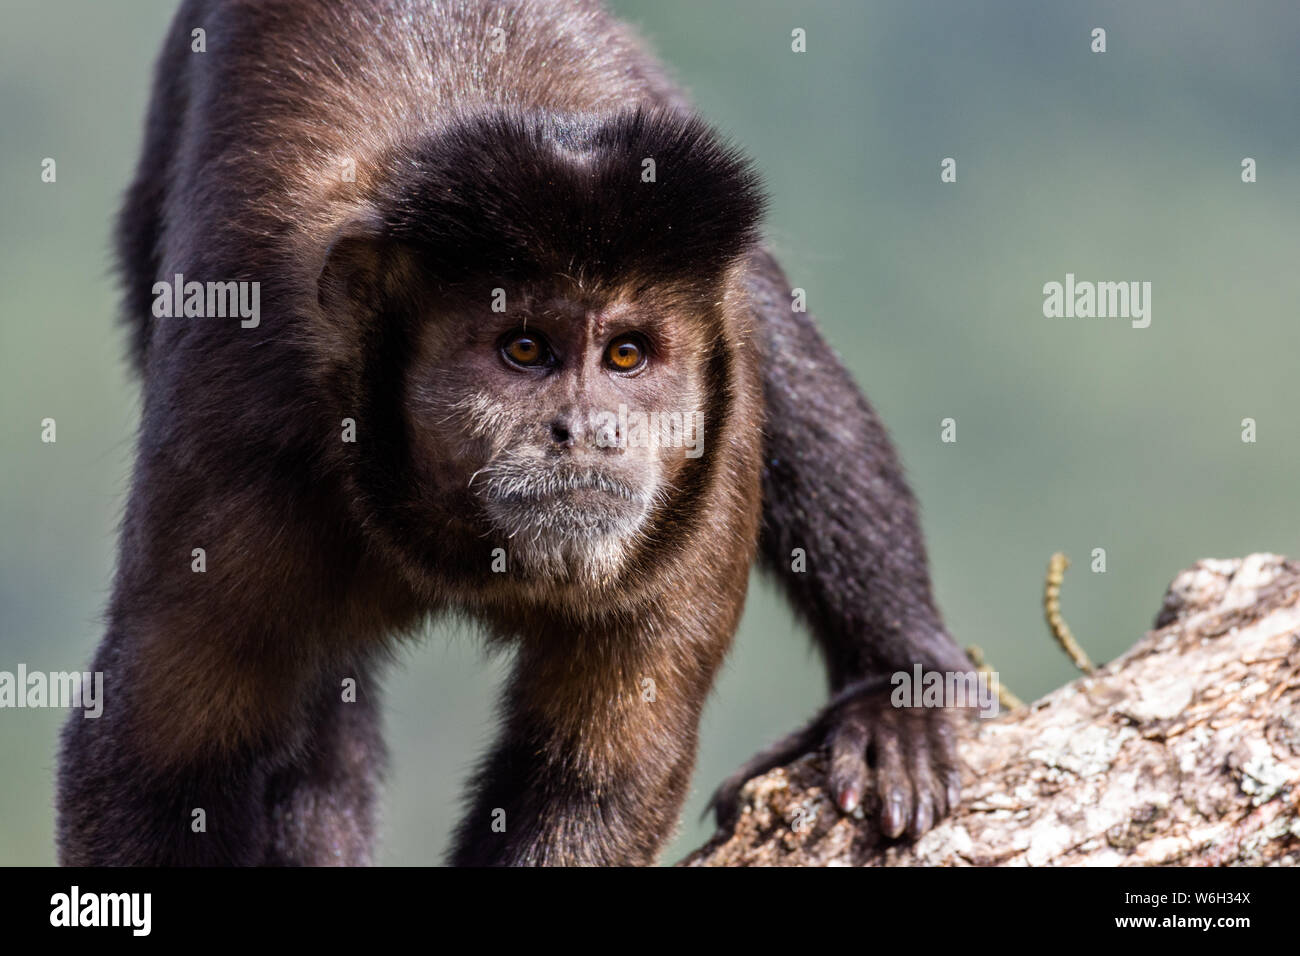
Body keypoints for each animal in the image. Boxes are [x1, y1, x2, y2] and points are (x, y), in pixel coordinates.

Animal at [61, 0, 977, 868]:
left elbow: (601, 773)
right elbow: (159, 760)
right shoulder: (244, 440)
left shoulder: (706, 473)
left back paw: (900, 689)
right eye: (525, 349)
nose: (588, 429)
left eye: (626, 355)